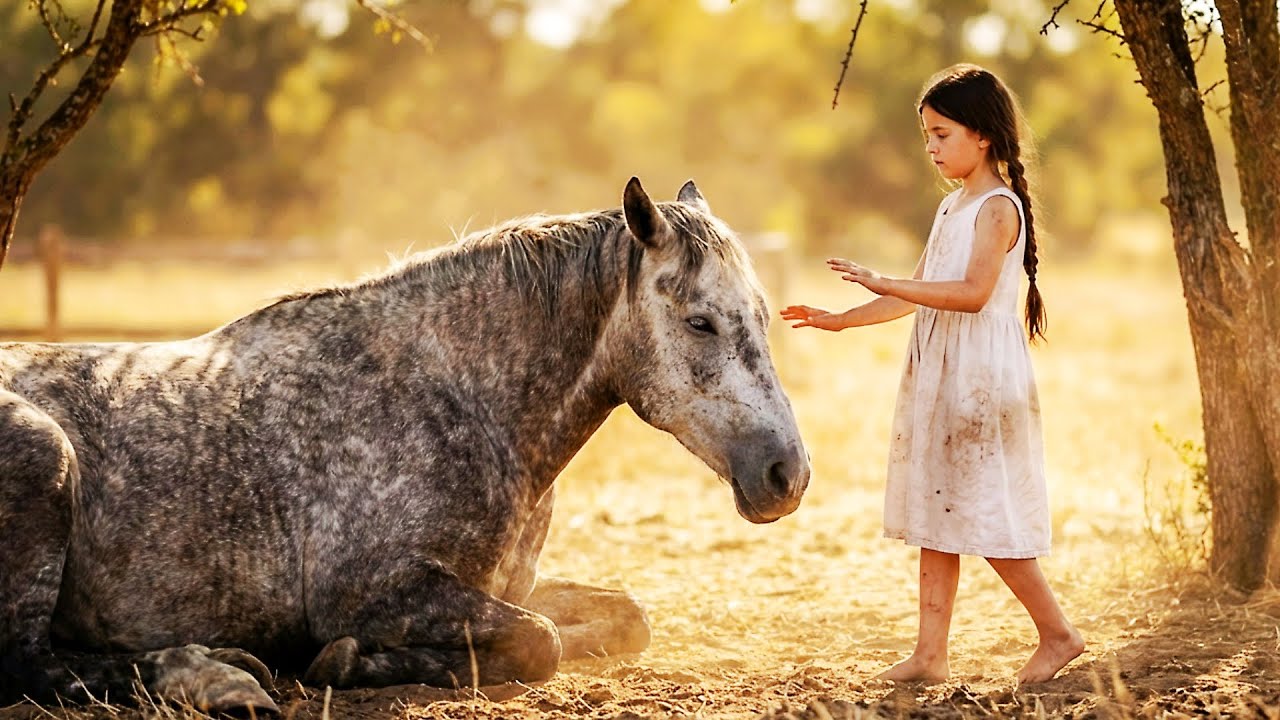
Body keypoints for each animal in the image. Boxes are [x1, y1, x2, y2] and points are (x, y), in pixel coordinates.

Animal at [0, 178, 810, 713]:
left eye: (764, 314)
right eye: (701, 321)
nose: (788, 474)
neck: (459, 398)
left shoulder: (499, 585)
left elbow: (622, 618)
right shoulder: (376, 591)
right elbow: (539, 643)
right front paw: (344, 660)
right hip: (44, 461)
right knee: (33, 665)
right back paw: (214, 675)